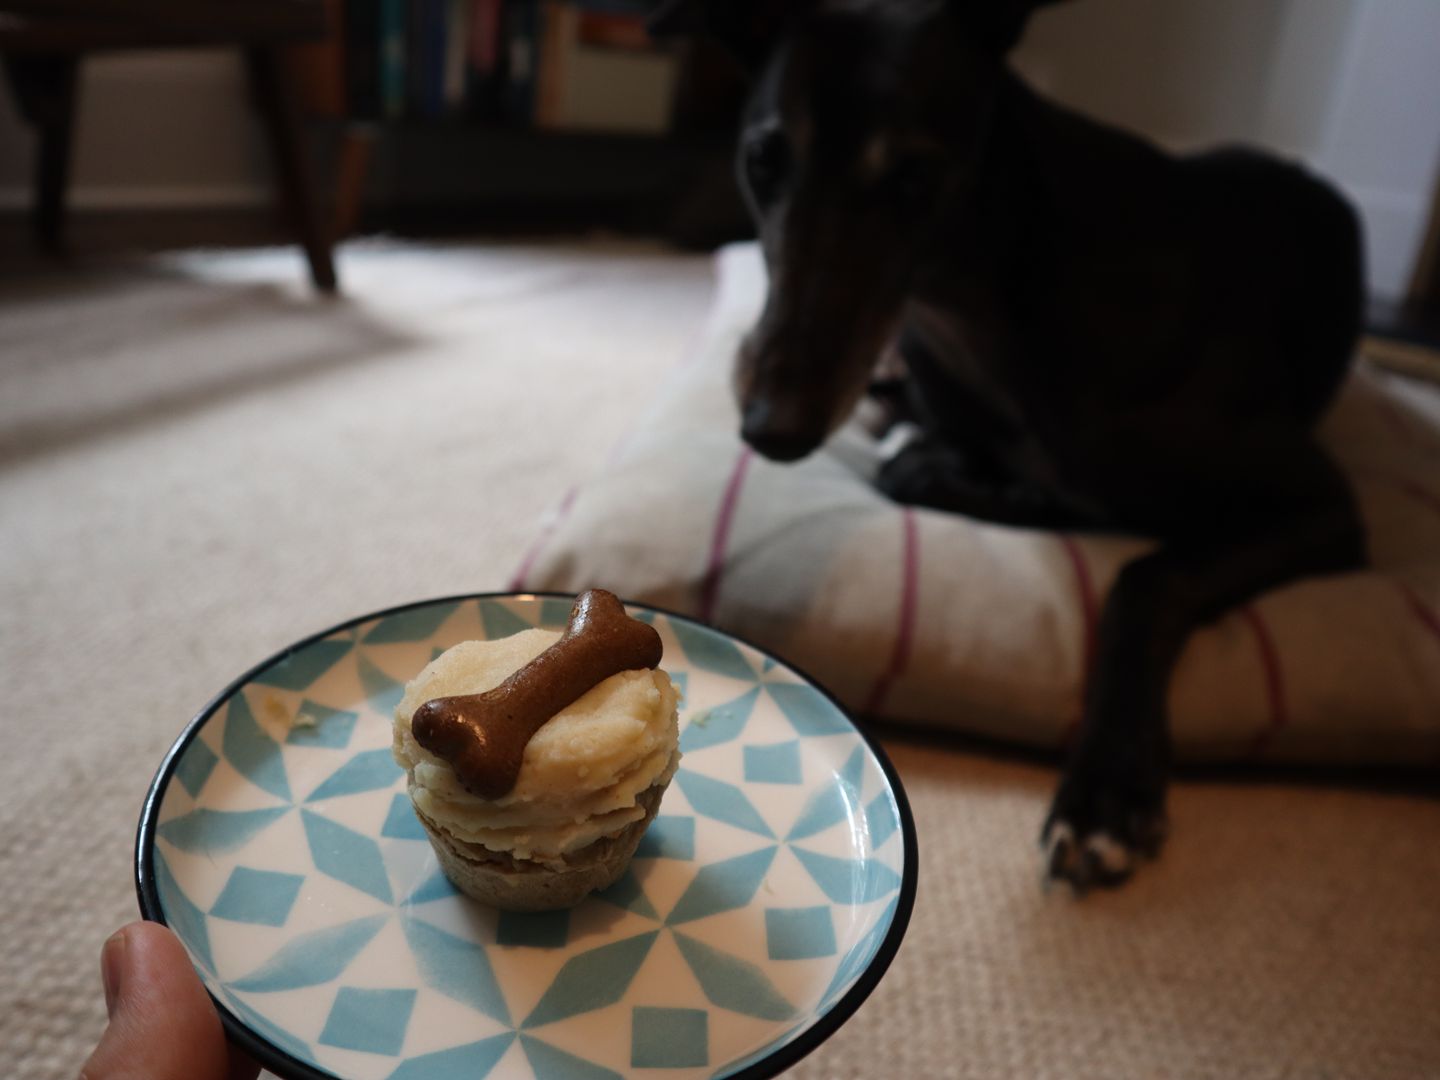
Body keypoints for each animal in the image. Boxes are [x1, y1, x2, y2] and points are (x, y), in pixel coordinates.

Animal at [648, 0, 1365, 887]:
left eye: (915, 177)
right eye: (762, 160)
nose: (772, 427)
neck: (977, 308)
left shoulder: (1322, 501)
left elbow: (1146, 576)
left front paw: (1105, 794)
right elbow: (926, 469)